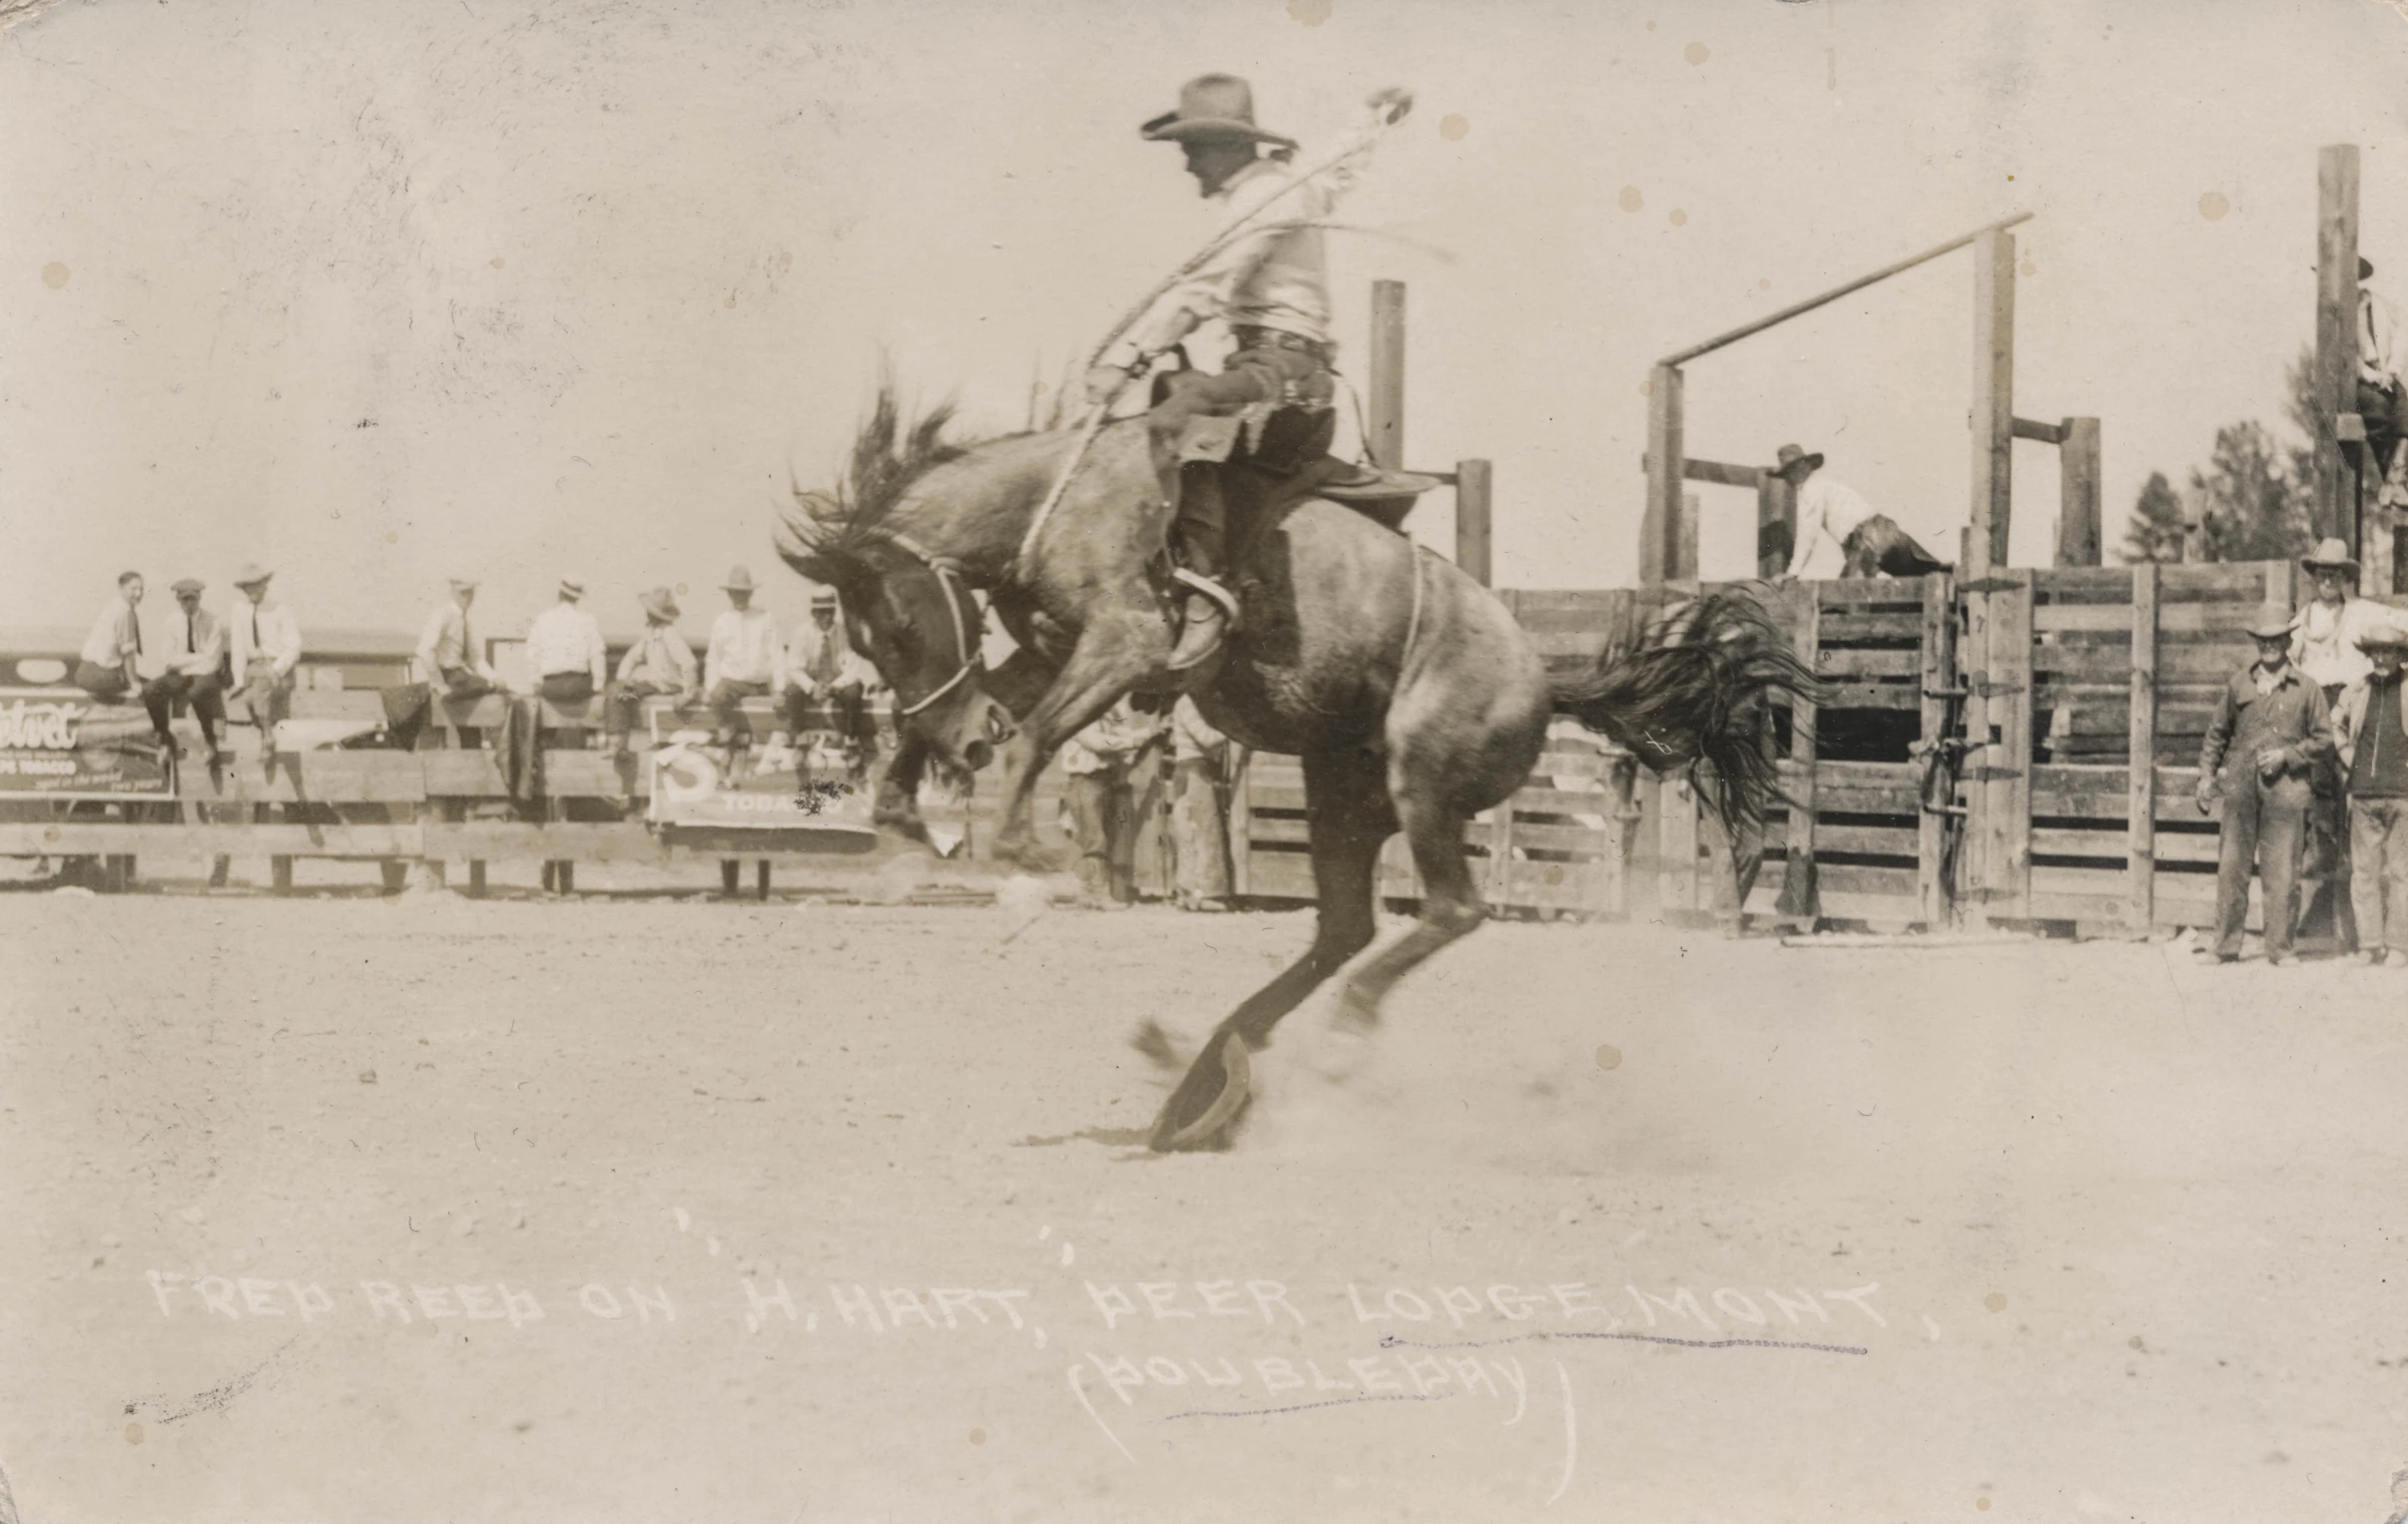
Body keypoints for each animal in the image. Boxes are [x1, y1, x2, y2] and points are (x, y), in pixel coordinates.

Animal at [770, 384, 1810, 1146]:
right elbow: (993, 711)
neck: (1053, 499)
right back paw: (1204, 1080)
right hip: (1337, 789)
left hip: (1421, 780)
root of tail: (1546, 680)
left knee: (1449, 909)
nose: (968, 746)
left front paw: (1028, 851)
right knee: (1344, 926)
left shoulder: (1126, 638)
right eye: (866, 640)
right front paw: (904, 810)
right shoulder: (1054, 650)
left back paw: (1327, 1043)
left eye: (900, 625)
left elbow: (1038, 736)